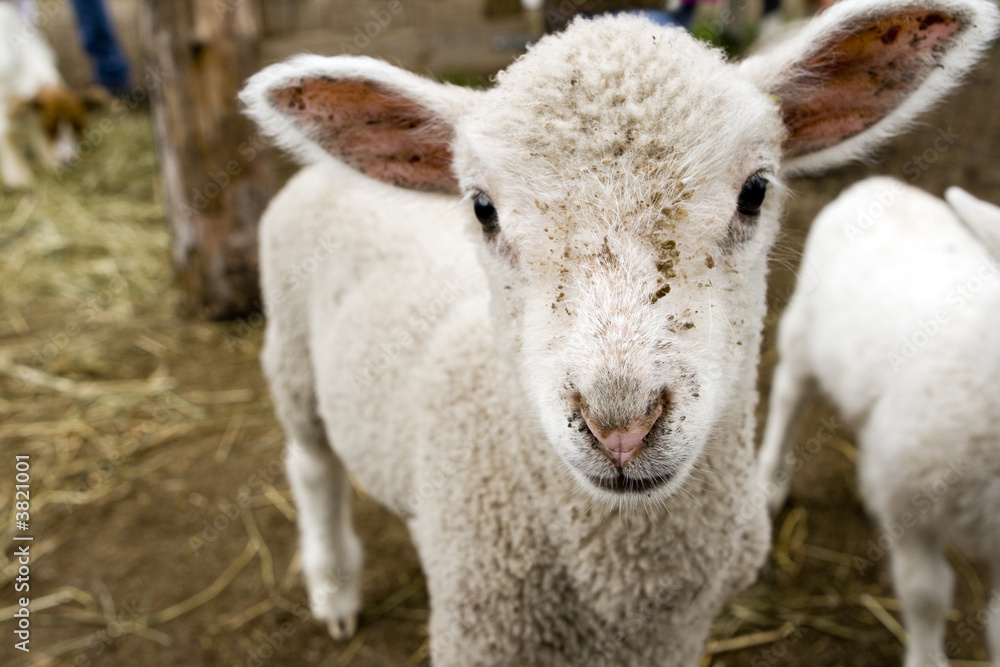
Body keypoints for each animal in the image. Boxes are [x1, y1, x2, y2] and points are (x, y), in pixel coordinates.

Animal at [756, 178, 1000, 667]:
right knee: (788, 396)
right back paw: (769, 481)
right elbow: (926, 593)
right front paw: (926, 660)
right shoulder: (906, 493)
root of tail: (879, 185)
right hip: (804, 332)